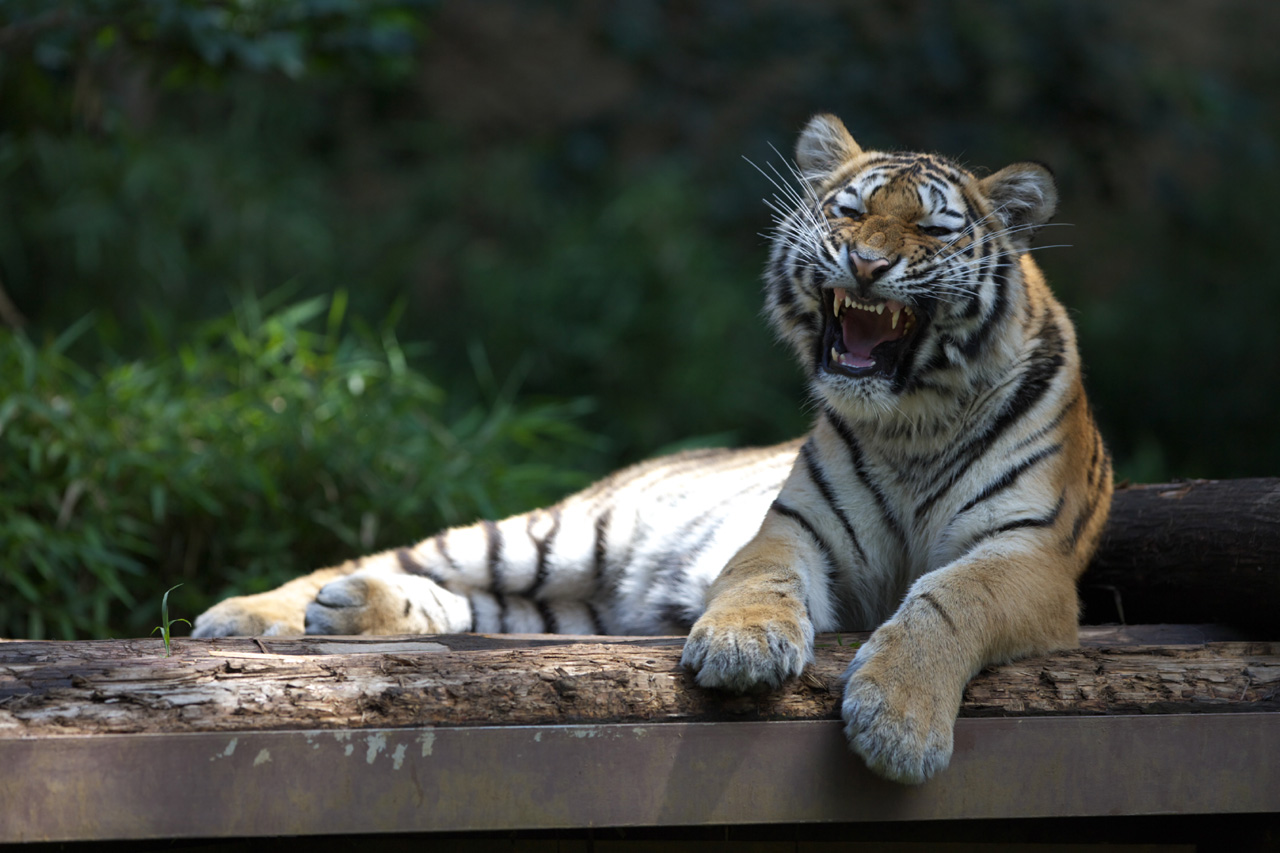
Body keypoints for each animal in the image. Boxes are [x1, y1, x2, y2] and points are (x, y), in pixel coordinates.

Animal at [189, 114, 1111, 783]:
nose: (866, 262)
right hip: (557, 535)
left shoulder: (1027, 557)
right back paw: (252, 614)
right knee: (409, 557)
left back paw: (351, 609)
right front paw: (743, 648)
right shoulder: (798, 526)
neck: (912, 419)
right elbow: (759, 577)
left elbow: (949, 600)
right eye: (850, 212)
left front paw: (898, 723)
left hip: (571, 605)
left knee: (478, 607)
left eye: (931, 228)